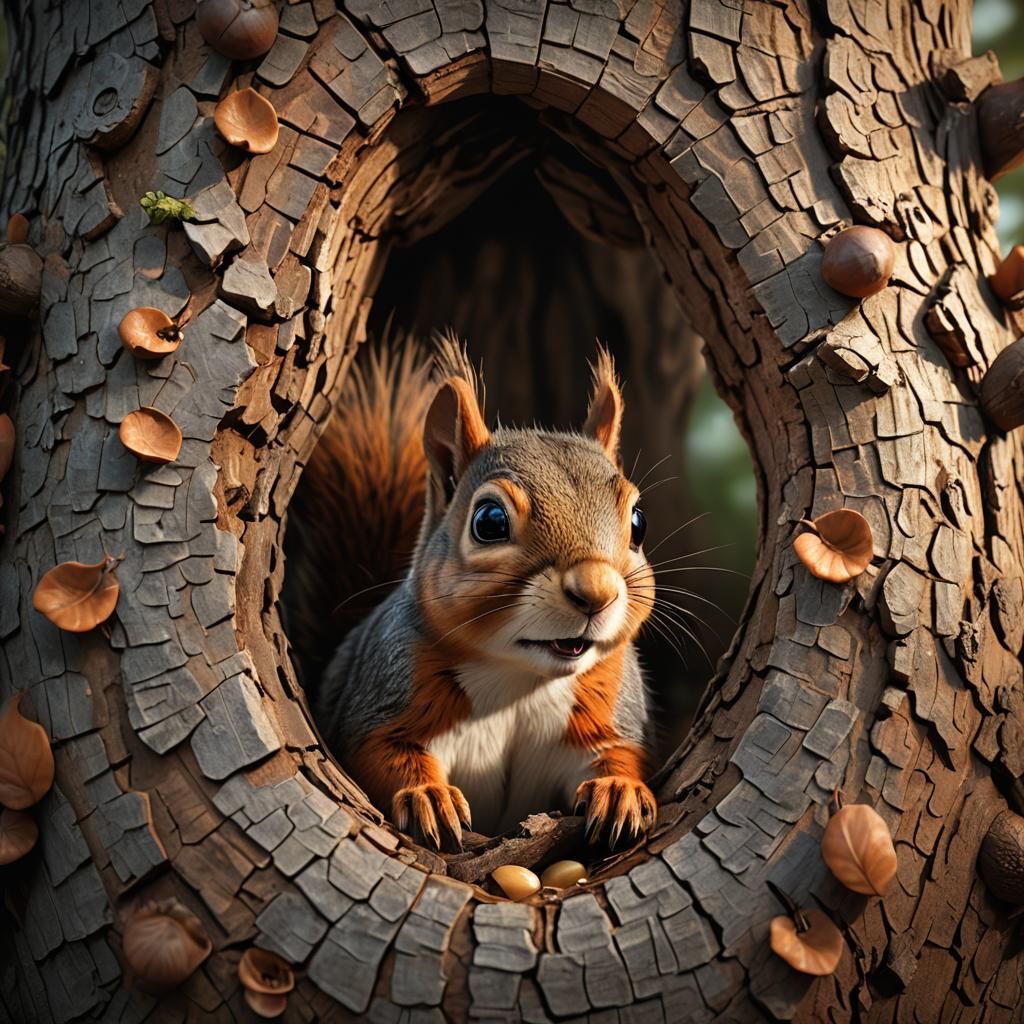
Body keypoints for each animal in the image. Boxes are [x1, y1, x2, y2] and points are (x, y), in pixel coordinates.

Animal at [293, 334, 657, 851]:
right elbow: (383, 755)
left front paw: (619, 790)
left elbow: (620, 754)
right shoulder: (383, 701)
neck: (519, 680)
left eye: (638, 522)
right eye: (489, 521)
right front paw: (429, 797)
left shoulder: (606, 713)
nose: (596, 592)